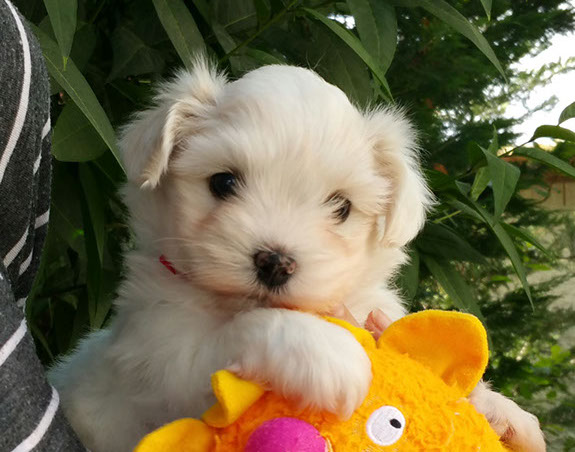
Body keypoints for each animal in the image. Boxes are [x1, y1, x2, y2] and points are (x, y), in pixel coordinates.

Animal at [49, 60, 545, 452]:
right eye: (223, 182)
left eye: (341, 207)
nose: (275, 261)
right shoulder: (159, 360)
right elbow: (233, 333)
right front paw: (328, 351)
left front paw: (503, 412)